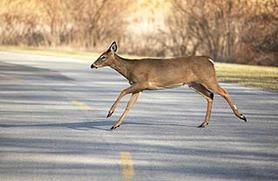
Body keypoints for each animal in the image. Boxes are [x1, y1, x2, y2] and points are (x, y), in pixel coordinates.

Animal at [90, 41, 247, 129]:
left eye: (103, 57)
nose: (92, 65)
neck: (130, 69)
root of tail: (210, 61)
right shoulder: (139, 88)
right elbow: (129, 106)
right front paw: (115, 125)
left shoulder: (142, 82)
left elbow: (122, 91)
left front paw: (109, 113)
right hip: (194, 83)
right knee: (210, 95)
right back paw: (204, 123)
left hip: (208, 78)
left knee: (223, 91)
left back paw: (241, 116)